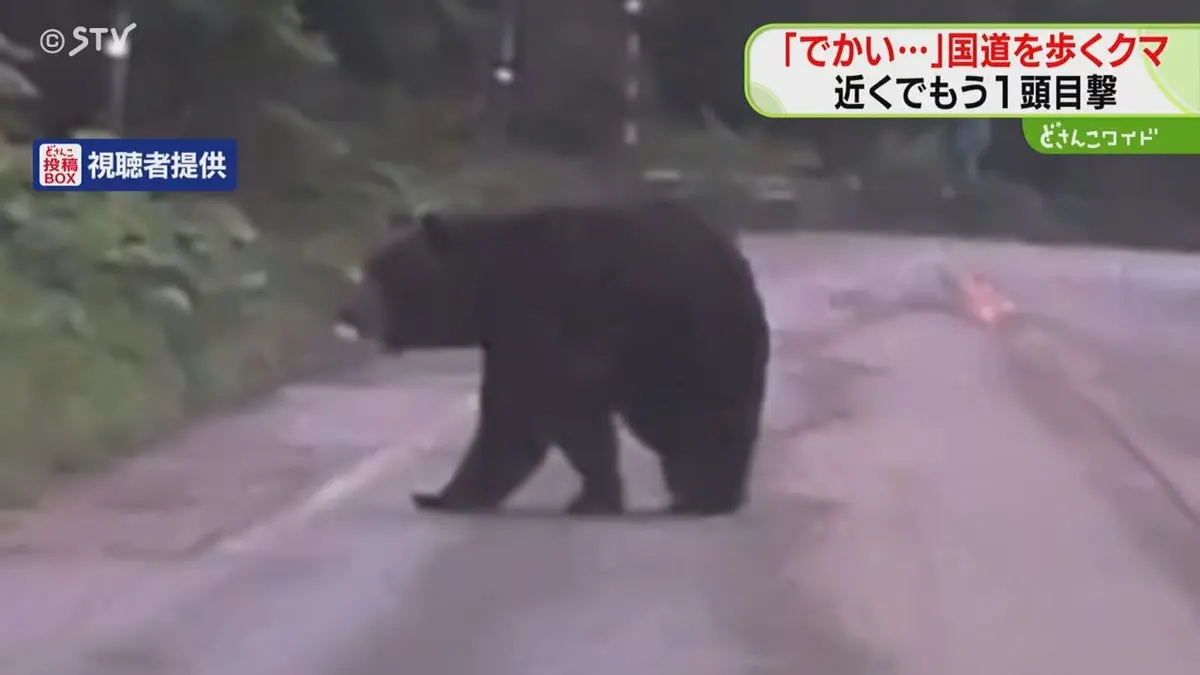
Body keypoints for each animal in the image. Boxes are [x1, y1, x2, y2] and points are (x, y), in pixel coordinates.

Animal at [336, 199, 770, 516]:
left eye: (381, 271)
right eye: (370, 267)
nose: (348, 312)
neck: (487, 286)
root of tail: (735, 263)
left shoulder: (541, 315)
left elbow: (539, 410)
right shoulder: (510, 334)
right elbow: (514, 412)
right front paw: (440, 495)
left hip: (679, 341)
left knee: (685, 417)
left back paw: (703, 491)